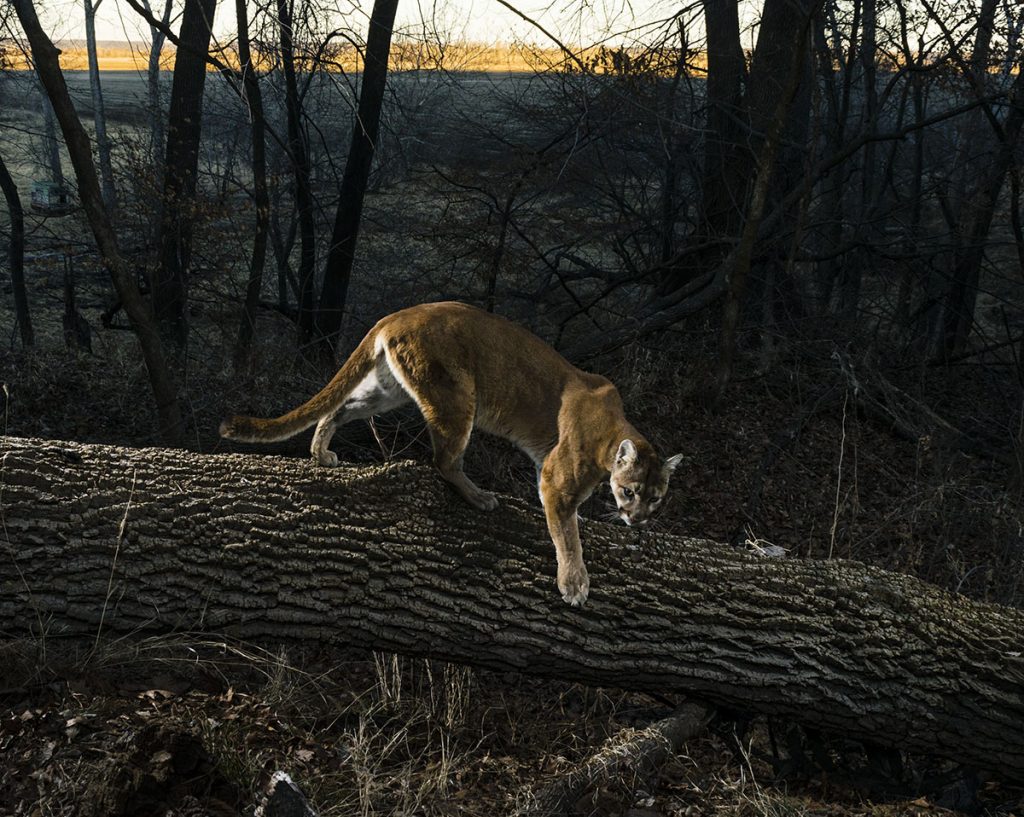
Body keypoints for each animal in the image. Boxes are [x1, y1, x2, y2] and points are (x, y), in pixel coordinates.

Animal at [218, 303, 679, 606]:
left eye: (656, 498)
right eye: (631, 491)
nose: (638, 520)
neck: (612, 435)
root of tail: (399, 314)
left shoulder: (547, 466)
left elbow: (564, 519)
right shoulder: (557, 478)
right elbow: (567, 536)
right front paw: (574, 584)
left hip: (388, 389)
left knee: (340, 407)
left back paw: (320, 452)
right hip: (456, 398)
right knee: (443, 461)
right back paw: (479, 497)